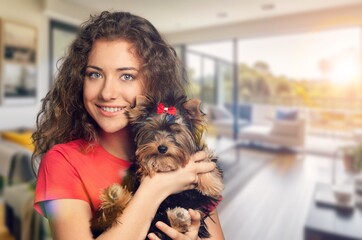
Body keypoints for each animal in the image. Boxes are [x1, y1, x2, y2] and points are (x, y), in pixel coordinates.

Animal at [90, 94, 223, 239]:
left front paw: (212, 184)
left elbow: (206, 160)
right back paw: (115, 196)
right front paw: (150, 165)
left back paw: (178, 217)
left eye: (175, 131)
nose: (162, 148)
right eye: (153, 130)